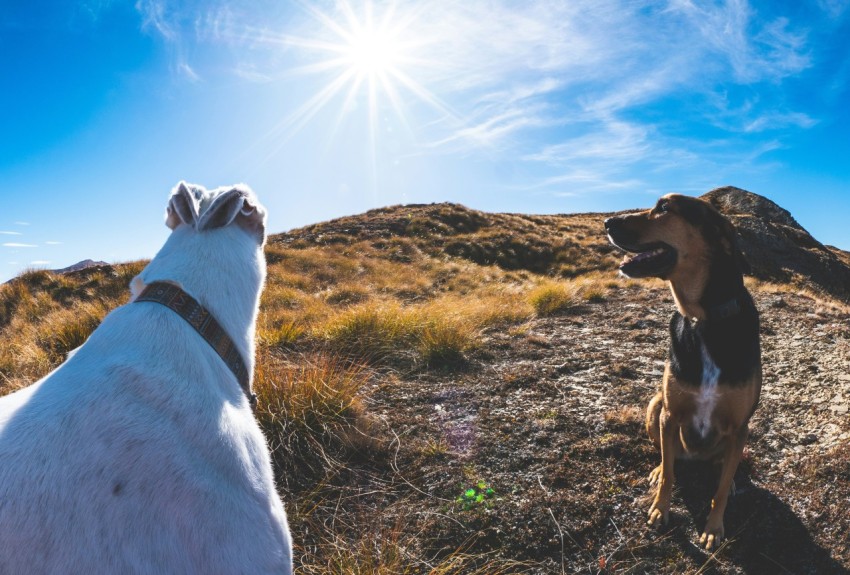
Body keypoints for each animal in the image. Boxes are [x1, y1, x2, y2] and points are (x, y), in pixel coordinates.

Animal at [608, 196, 760, 552]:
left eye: (664, 207)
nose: (607, 222)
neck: (702, 320)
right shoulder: (670, 413)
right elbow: (668, 475)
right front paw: (660, 509)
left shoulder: (739, 426)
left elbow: (720, 491)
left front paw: (713, 528)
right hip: (655, 405)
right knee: (669, 458)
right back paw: (659, 468)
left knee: (722, 469)